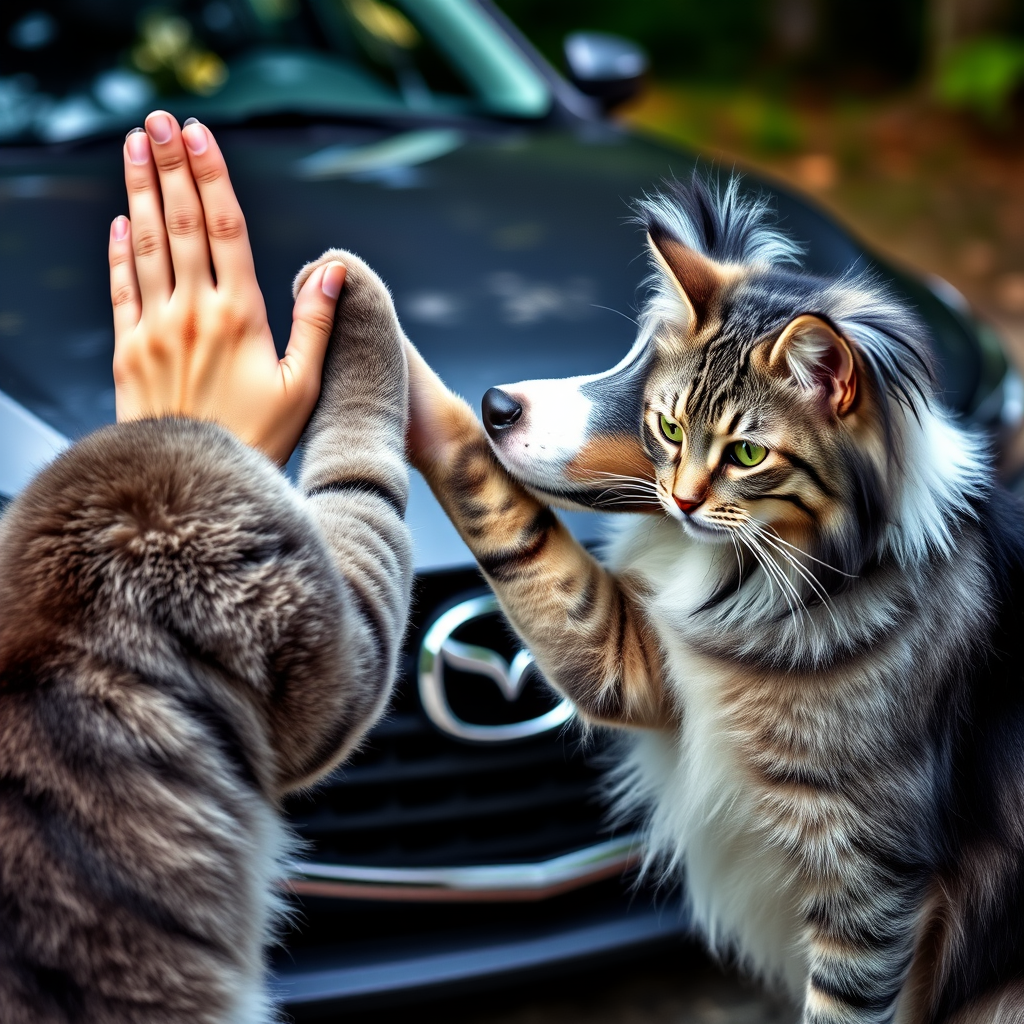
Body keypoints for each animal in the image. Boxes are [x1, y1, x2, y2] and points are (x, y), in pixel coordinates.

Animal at [403, 178, 1024, 1024]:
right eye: (667, 424)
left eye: (746, 453)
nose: (495, 403)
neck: (807, 575)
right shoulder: (635, 665)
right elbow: (525, 540)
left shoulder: (871, 881)